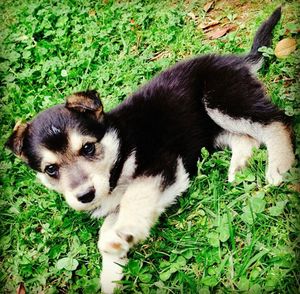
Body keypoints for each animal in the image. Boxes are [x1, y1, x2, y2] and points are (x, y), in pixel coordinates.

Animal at [5, 6, 296, 294]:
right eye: (51, 169)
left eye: (87, 148)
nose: (85, 196)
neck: (119, 145)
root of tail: (238, 60)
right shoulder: (134, 192)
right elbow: (108, 231)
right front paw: (112, 268)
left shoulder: (161, 163)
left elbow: (137, 195)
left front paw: (128, 229)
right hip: (211, 129)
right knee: (247, 138)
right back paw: (240, 167)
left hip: (221, 100)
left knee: (276, 121)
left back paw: (279, 166)